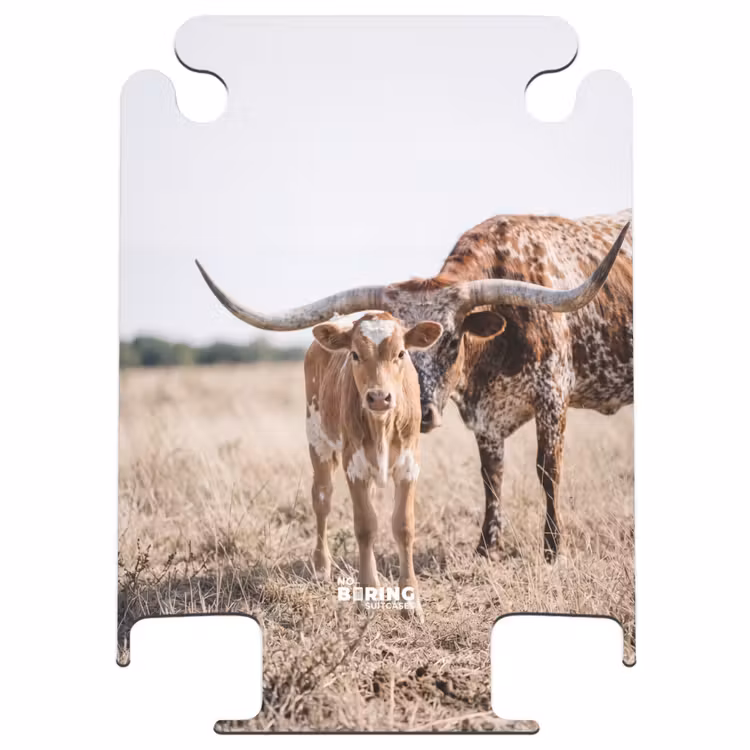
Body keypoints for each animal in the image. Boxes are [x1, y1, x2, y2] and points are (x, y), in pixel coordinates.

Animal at [195, 210, 631, 563]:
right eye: (394, 349)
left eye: (452, 340)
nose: (419, 413)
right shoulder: (484, 417)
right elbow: (492, 475)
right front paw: (486, 548)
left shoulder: (552, 397)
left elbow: (548, 469)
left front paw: (553, 549)